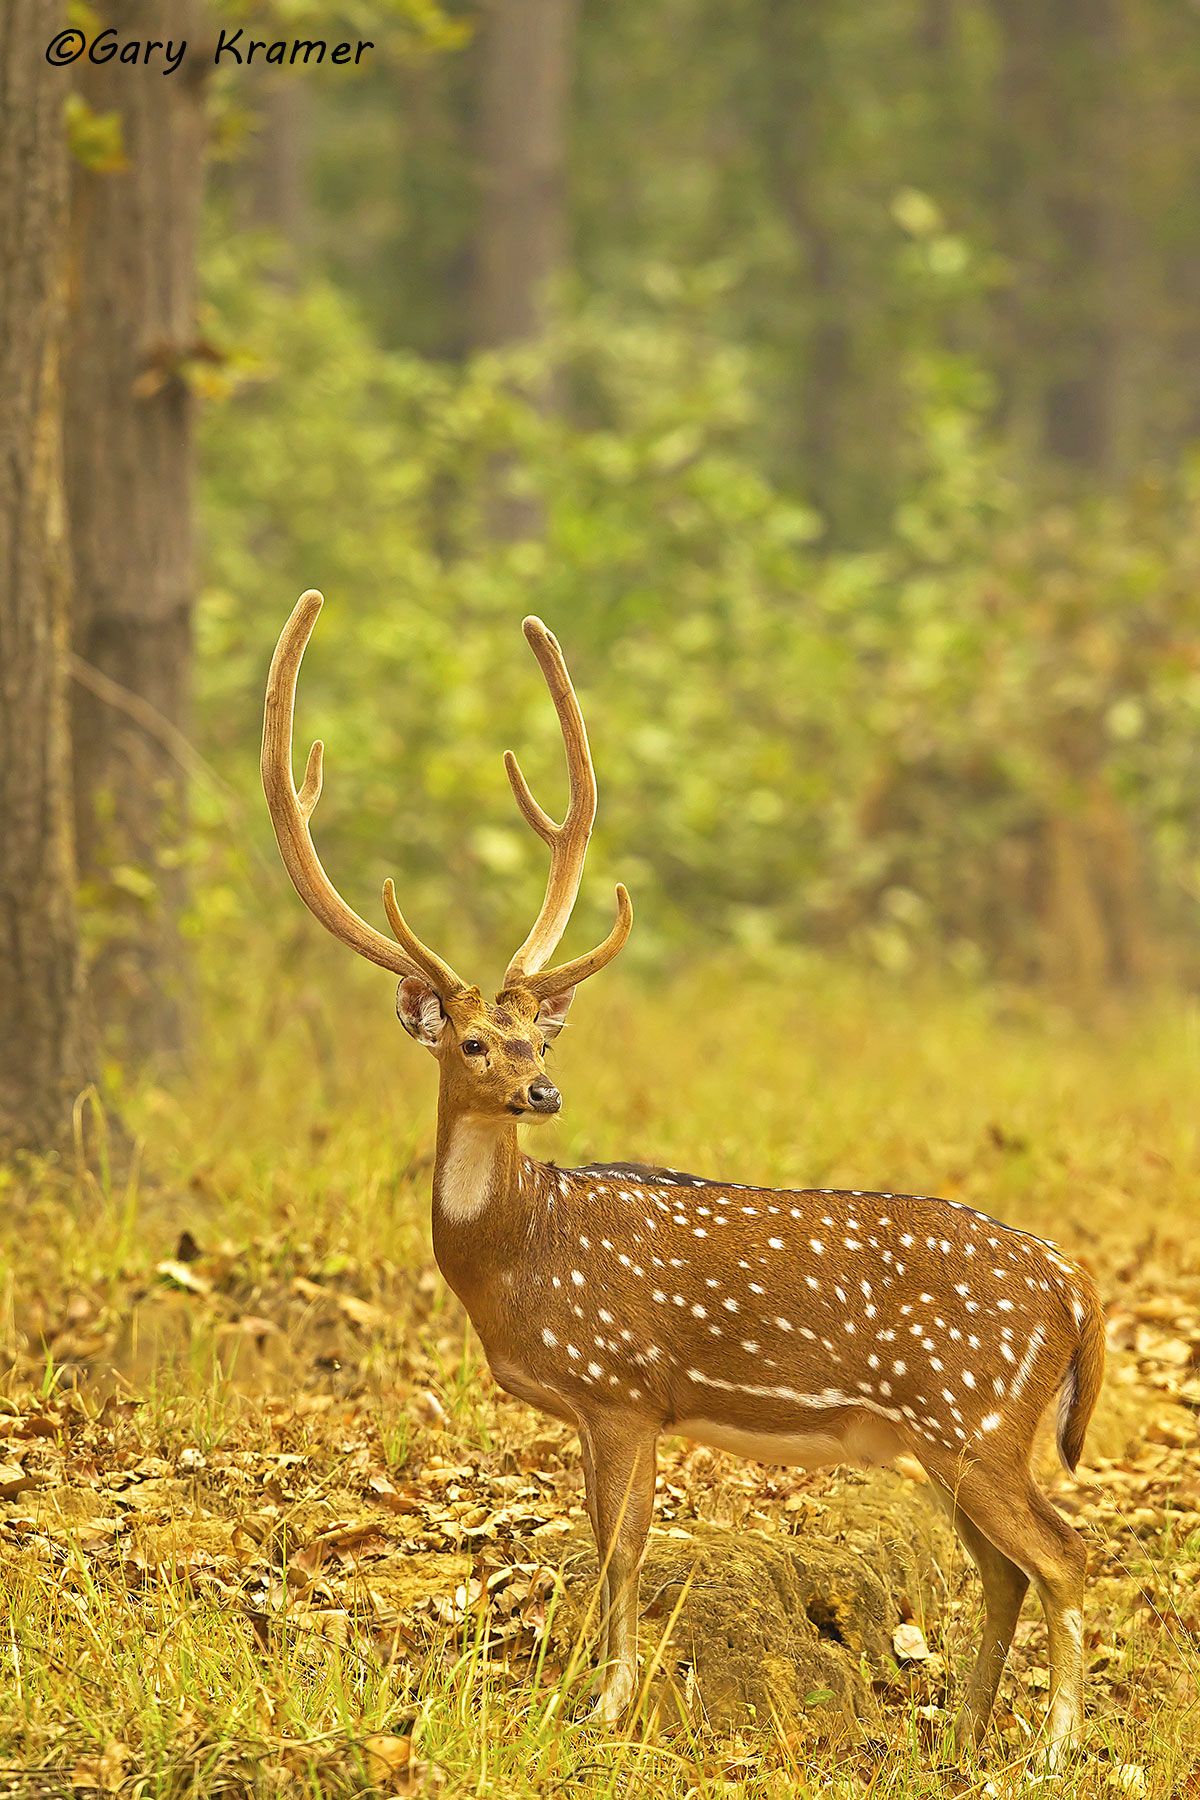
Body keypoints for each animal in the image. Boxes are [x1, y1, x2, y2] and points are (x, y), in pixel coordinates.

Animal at [262, 591, 1105, 1758]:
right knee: (1007, 1569)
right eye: (473, 1043)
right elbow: (602, 1541)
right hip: (949, 1439)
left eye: (538, 1039)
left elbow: (623, 1551)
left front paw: (605, 1705)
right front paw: (591, 1693)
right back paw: (961, 1734)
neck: (517, 1258)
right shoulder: (593, 1404)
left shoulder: (620, 1383)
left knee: (1066, 1556)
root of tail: (1076, 1291)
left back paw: (1050, 1746)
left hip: (973, 1417)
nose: (542, 1093)